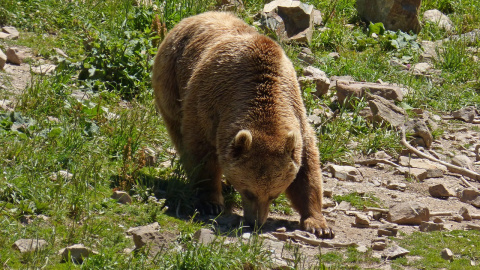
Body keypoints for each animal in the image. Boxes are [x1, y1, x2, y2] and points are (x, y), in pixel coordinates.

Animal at [154, 11, 334, 237]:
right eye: (248, 192)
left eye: (274, 194)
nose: (256, 222)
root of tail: (196, 16)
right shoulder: (206, 107)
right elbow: (201, 151)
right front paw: (210, 202)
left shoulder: (297, 117)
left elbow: (307, 168)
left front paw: (318, 224)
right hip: (171, 78)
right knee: (177, 130)